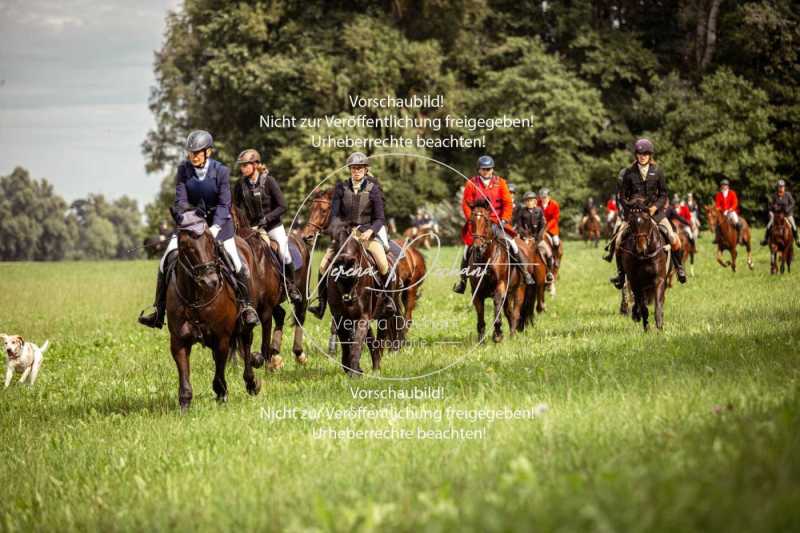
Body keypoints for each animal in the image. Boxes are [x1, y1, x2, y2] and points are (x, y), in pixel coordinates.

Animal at [165, 211, 260, 408]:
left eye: (210, 241)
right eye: (184, 245)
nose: (210, 281)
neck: (196, 297)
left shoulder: (221, 337)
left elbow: (220, 371)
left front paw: (221, 394)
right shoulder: (178, 340)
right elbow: (184, 375)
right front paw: (184, 405)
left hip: (245, 324)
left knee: (246, 345)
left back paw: (251, 383)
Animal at [231, 206, 312, 372]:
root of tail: (300, 240)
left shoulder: (266, 308)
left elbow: (264, 339)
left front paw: (266, 363)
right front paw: (259, 359)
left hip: (301, 292)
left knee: (300, 316)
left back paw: (298, 354)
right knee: (280, 315)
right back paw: (275, 354)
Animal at [466, 202, 536, 342]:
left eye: (487, 221)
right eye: (471, 221)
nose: (478, 248)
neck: (486, 258)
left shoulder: (500, 287)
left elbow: (497, 305)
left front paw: (497, 334)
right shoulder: (477, 292)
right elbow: (480, 317)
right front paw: (481, 339)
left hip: (519, 290)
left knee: (515, 312)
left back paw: (513, 335)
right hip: (508, 294)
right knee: (509, 312)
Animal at [620, 197, 668, 330]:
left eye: (647, 220)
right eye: (631, 222)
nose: (641, 248)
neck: (644, 256)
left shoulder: (659, 279)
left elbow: (658, 305)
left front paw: (659, 327)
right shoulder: (636, 282)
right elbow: (643, 307)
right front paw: (646, 327)